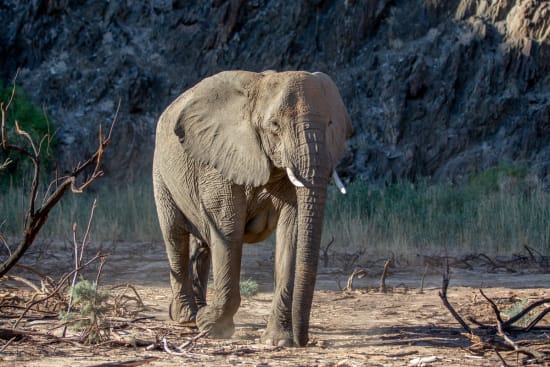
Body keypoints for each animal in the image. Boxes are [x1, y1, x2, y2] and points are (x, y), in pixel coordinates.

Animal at [153, 69, 354, 348]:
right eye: (275, 127)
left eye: (330, 125)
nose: (304, 340)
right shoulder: (220, 161)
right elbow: (228, 230)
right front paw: (212, 326)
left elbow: (291, 235)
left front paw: (277, 341)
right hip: (161, 173)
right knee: (175, 235)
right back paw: (187, 317)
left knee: (201, 242)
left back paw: (196, 310)